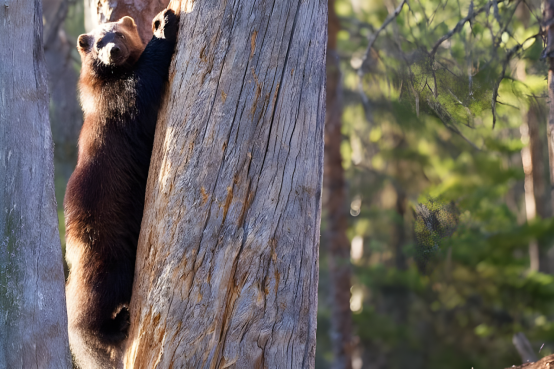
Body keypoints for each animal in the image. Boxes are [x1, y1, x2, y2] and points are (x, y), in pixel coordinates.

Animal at [63, 7, 178, 368]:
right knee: (83, 311)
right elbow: (146, 77)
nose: (112, 51)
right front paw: (164, 24)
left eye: (119, 34)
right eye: (99, 41)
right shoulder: (125, 97)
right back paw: (114, 326)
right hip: (105, 257)